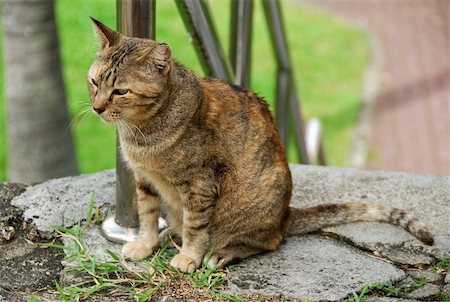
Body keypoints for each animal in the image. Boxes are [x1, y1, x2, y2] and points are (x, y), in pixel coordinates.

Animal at [88, 18, 432, 274]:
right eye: (94, 82)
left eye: (120, 91)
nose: (96, 107)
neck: (142, 131)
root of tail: (285, 215)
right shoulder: (144, 180)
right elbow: (147, 217)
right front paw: (145, 245)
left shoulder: (200, 185)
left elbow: (196, 229)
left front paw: (188, 257)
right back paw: (172, 232)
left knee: (267, 242)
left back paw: (221, 252)